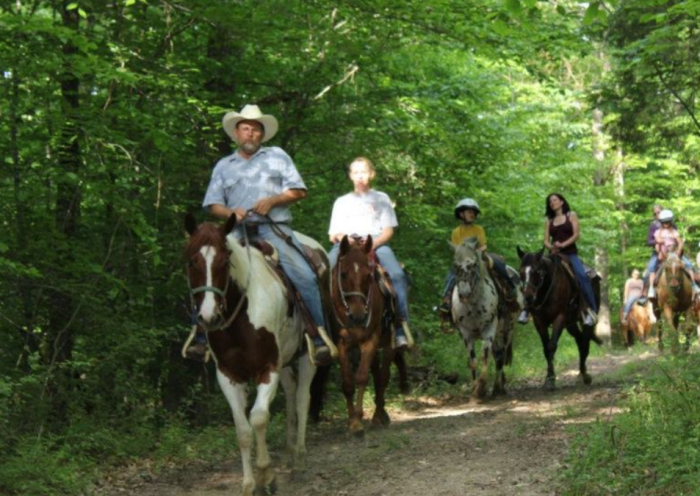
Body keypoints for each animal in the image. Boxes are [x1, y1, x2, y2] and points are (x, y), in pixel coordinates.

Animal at [182, 213, 322, 496]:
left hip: (306, 355)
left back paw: (299, 460)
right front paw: (248, 484)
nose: (209, 317)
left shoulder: (267, 368)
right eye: (192, 261)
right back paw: (288, 454)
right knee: (291, 394)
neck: (242, 317)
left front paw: (266, 476)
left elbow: (258, 418)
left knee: (302, 399)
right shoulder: (228, 374)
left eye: (225, 261)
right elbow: (243, 430)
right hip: (285, 361)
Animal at [334, 234, 400, 436]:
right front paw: (350, 421)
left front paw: (357, 423)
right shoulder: (341, 342)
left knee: (383, 376)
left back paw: (379, 415)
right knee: (377, 374)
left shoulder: (370, 340)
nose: (358, 315)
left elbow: (362, 377)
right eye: (343, 274)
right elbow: (347, 383)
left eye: (368, 275)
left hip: (388, 342)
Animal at [452, 237, 524, 400]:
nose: (464, 294)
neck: (473, 305)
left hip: (507, 330)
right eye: (455, 265)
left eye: (473, 264)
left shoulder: (489, 330)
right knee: (498, 355)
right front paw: (474, 389)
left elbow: (485, 357)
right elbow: (473, 361)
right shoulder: (465, 333)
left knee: (500, 356)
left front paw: (481, 389)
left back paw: (498, 388)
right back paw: (500, 383)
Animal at [516, 248, 600, 392]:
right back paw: (580, 374)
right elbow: (545, 348)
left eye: (537, 271)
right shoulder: (539, 322)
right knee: (580, 340)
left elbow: (551, 346)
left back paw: (585, 375)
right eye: (521, 272)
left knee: (585, 342)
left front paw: (551, 379)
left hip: (585, 321)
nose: (528, 298)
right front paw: (548, 378)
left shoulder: (559, 318)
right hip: (570, 324)